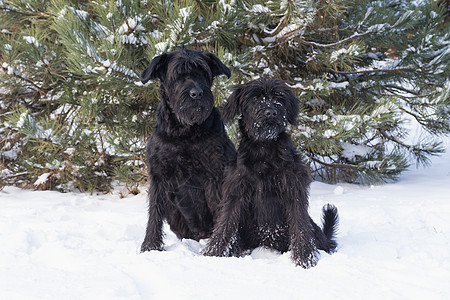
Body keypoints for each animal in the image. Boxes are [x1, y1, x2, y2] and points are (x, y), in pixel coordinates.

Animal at [141, 48, 236, 252]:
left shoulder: (215, 175)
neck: (184, 132)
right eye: (178, 75)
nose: (197, 93)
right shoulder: (159, 176)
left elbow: (222, 211)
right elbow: (154, 215)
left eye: (204, 72)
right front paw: (150, 245)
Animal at [204, 77, 338, 268]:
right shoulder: (236, 190)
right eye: (254, 98)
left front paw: (305, 259)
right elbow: (225, 223)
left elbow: (300, 226)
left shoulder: (293, 189)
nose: (271, 112)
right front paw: (214, 254)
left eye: (279, 98)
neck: (264, 150)